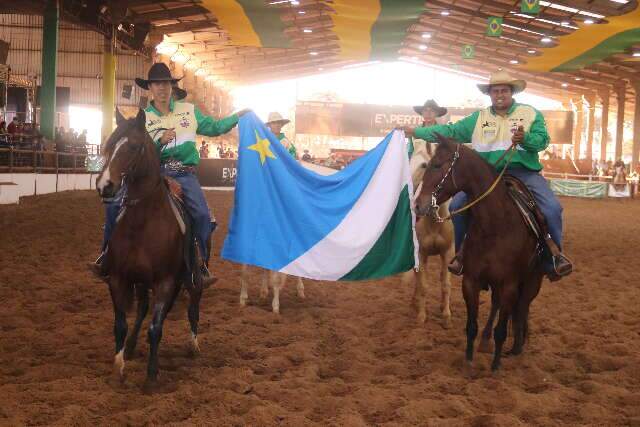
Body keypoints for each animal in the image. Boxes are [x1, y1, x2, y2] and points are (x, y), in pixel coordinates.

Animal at [93, 108, 200, 392]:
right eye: (109, 145)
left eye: (133, 146)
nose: (105, 185)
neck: (143, 222)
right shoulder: (119, 278)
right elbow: (120, 324)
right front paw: (119, 367)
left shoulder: (165, 281)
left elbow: (156, 328)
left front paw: (152, 375)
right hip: (142, 282)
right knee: (142, 309)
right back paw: (130, 347)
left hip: (188, 277)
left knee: (193, 304)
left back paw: (194, 344)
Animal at [404, 143, 456, 328]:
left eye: (424, 165)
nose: (415, 205)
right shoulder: (421, 254)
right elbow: (423, 285)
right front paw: (421, 316)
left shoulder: (447, 253)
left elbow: (446, 284)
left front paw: (446, 315)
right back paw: (413, 302)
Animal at [412, 137, 544, 372]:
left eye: (434, 165)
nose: (418, 205)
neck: (496, 224)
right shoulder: (470, 280)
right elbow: (471, 324)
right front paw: (468, 361)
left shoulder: (509, 283)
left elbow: (502, 327)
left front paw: (495, 366)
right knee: (498, 305)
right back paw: (485, 341)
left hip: (531, 281)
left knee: (521, 308)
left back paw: (516, 347)